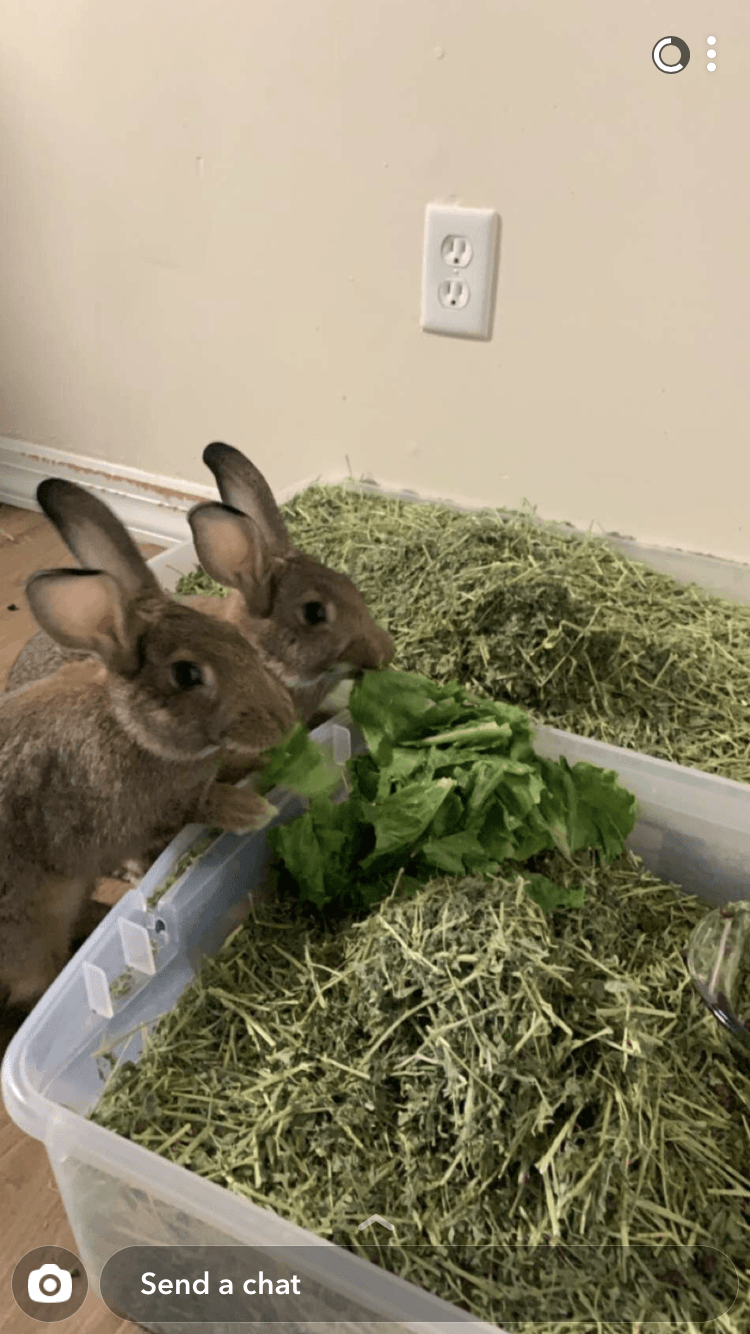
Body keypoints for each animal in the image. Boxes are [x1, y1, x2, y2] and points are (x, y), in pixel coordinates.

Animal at [0, 478, 298, 1009]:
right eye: (187, 674)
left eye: (231, 634)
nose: (285, 721)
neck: (130, 728)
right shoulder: (136, 819)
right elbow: (197, 807)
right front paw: (252, 810)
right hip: (30, 927)